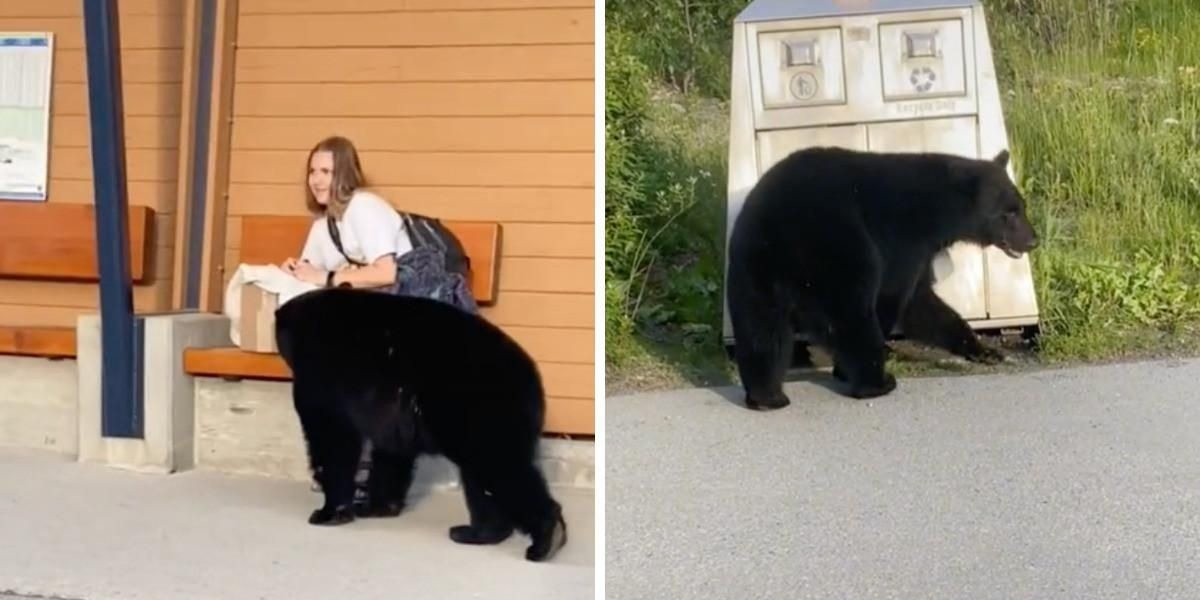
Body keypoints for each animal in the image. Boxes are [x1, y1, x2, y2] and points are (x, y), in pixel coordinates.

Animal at [274, 288, 568, 564]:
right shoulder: (392, 410)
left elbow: (332, 438)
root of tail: (533, 380)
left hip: (480, 408)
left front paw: (328, 512)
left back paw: (546, 538)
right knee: (481, 479)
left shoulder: (321, 374)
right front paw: (378, 507)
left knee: (500, 466)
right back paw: (476, 533)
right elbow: (391, 450)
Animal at [720, 146, 1041, 408]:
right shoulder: (903, 238)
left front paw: (984, 350)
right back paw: (876, 382)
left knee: (762, 329)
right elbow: (894, 293)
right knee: (852, 315)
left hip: (752, 268)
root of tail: (780, 230)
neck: (937, 211)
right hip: (836, 252)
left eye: (1022, 207)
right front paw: (851, 366)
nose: (1032, 241)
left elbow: (922, 303)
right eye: (1009, 214)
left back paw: (767, 397)